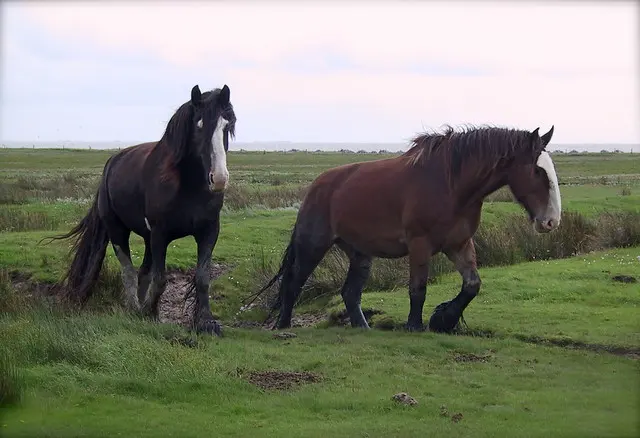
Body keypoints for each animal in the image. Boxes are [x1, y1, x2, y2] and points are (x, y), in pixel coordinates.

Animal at [49, 84, 237, 336]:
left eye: (227, 125)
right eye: (199, 126)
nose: (219, 179)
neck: (187, 186)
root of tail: (112, 161)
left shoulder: (209, 231)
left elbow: (202, 277)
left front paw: (206, 323)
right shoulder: (160, 234)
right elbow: (160, 279)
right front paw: (148, 311)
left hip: (148, 238)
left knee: (143, 272)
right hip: (118, 230)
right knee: (128, 270)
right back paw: (134, 307)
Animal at [249, 125, 561, 333]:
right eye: (537, 170)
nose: (551, 221)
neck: (451, 185)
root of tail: (316, 186)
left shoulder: (459, 244)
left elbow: (472, 285)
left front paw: (443, 319)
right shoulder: (420, 244)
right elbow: (417, 288)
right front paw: (415, 325)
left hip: (360, 253)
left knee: (350, 293)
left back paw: (364, 329)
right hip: (313, 246)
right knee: (294, 283)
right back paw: (283, 325)